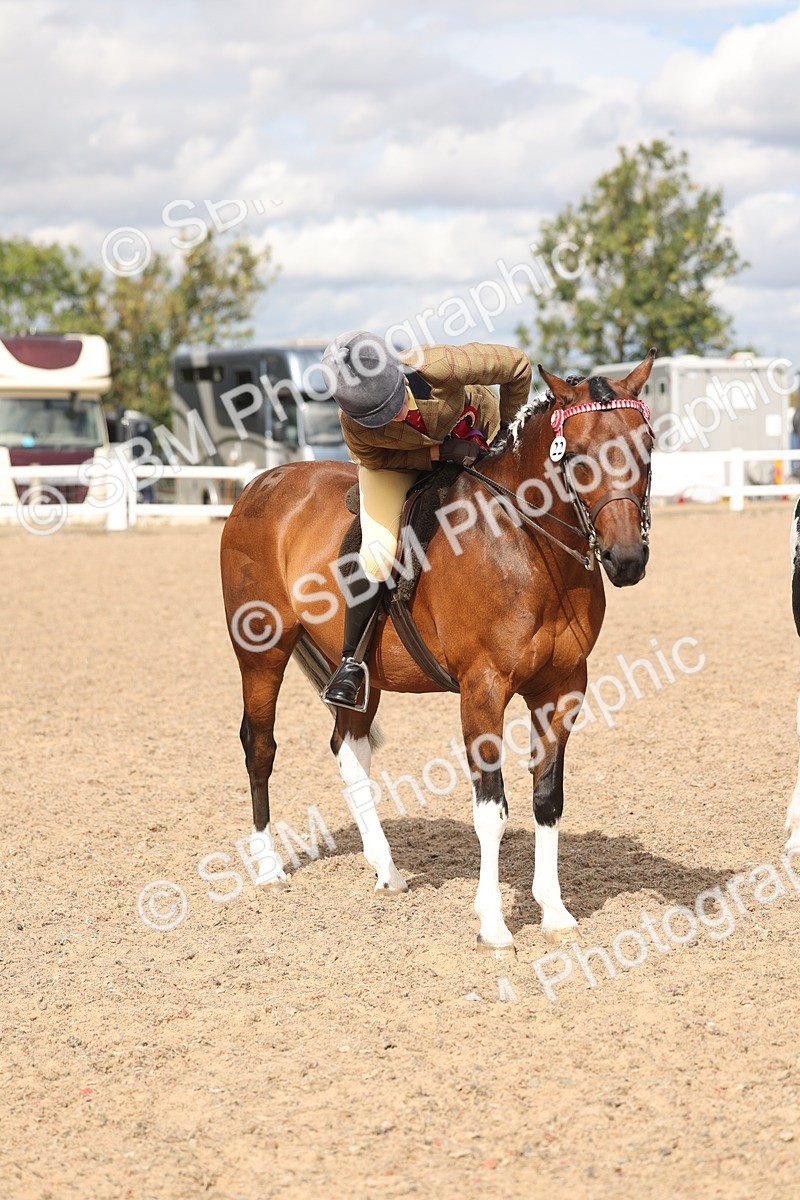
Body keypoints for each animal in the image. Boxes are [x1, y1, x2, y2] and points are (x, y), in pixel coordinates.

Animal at [219, 351, 656, 955]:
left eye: (647, 447)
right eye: (578, 456)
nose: (627, 559)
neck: (526, 546)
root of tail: (261, 482)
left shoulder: (563, 688)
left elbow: (547, 800)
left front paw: (555, 912)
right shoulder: (483, 690)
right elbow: (491, 810)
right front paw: (494, 923)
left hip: (363, 675)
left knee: (348, 750)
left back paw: (386, 870)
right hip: (261, 650)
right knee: (260, 746)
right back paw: (267, 865)